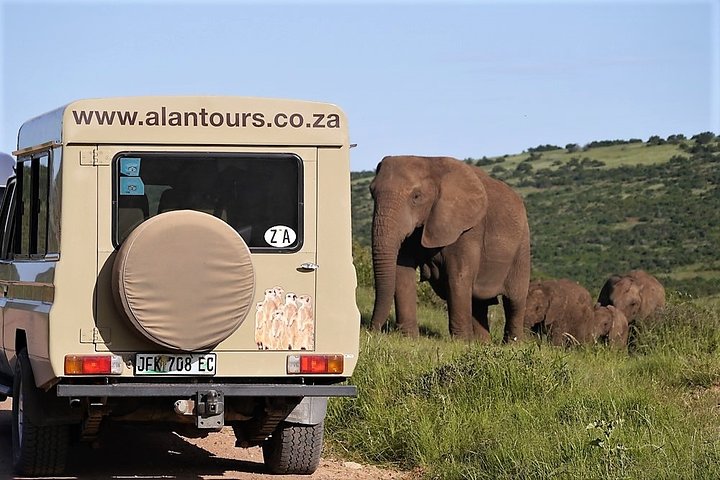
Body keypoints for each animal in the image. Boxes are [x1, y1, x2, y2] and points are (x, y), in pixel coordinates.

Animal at [368, 155, 531, 342]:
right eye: (372, 193)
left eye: (416, 196)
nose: (372, 331)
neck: (429, 163)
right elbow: (402, 272)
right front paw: (408, 338)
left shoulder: (467, 227)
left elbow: (458, 277)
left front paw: (460, 343)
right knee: (479, 302)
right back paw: (482, 344)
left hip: (522, 245)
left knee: (514, 300)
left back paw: (512, 344)